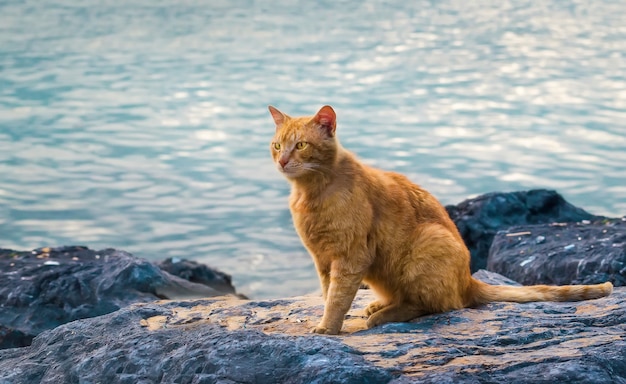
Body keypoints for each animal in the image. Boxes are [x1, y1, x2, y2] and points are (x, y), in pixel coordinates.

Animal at [266, 106, 612, 334]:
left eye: (301, 145)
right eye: (277, 145)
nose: (282, 160)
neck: (310, 193)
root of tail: (468, 280)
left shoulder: (350, 258)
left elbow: (337, 298)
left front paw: (328, 328)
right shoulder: (323, 260)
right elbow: (329, 294)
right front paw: (327, 322)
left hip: (428, 243)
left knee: (438, 304)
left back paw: (384, 315)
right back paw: (379, 306)